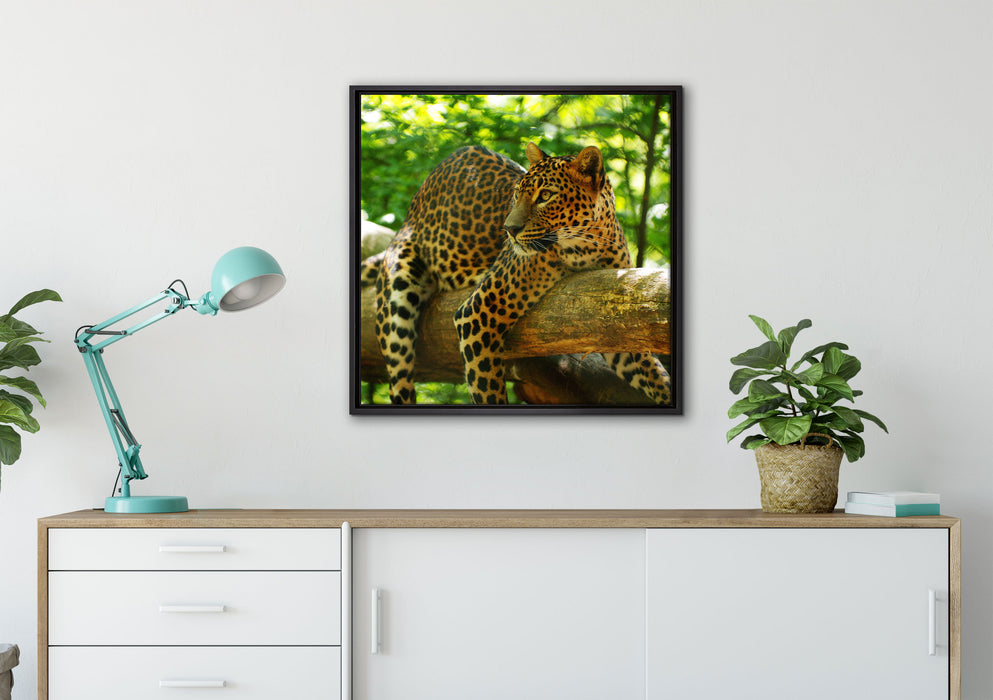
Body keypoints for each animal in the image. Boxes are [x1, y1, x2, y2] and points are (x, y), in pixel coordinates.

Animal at [362, 142, 672, 406]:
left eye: (545, 196)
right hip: (397, 302)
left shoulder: (612, 322)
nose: (509, 229)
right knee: (400, 379)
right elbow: (487, 389)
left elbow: (653, 373)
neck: (588, 246)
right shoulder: (476, 313)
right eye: (516, 193)